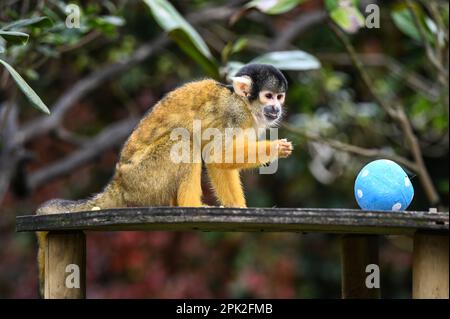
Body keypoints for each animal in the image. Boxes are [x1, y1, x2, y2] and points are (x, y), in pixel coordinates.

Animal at [37, 63, 294, 296]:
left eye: (279, 97)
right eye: (268, 96)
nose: (275, 108)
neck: (245, 104)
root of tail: (119, 183)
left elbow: (220, 163)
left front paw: (237, 207)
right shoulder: (233, 115)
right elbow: (216, 153)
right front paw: (275, 148)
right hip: (145, 177)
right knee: (184, 141)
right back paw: (190, 205)